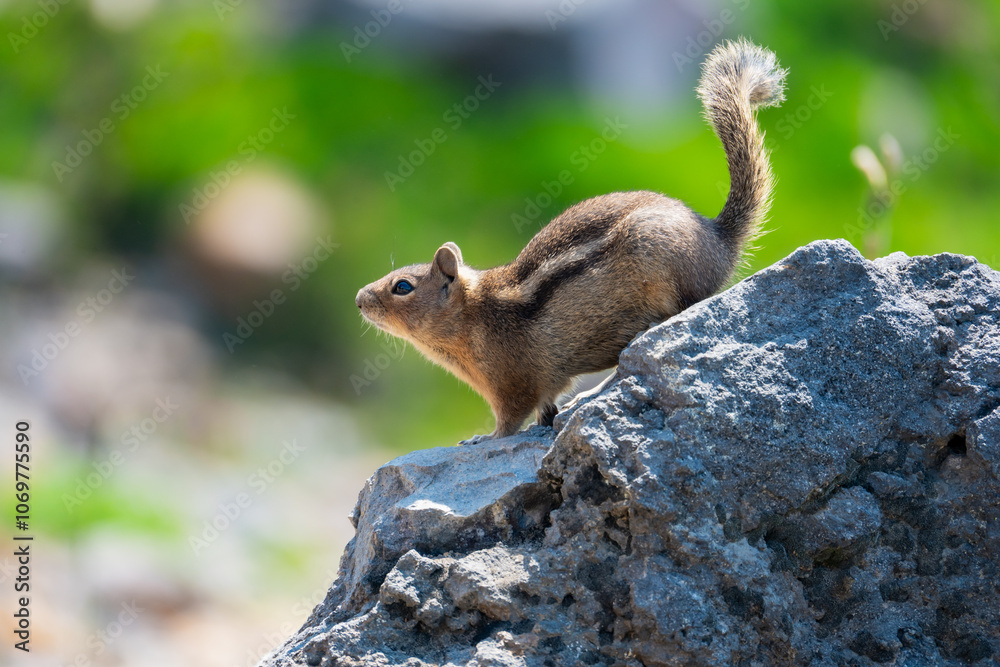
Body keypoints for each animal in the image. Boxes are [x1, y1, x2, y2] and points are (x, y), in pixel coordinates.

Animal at [356, 38, 787, 443]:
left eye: (402, 286)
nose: (359, 299)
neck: (472, 316)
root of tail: (717, 238)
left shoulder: (512, 384)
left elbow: (509, 421)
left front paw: (482, 438)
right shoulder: (543, 387)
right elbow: (546, 412)